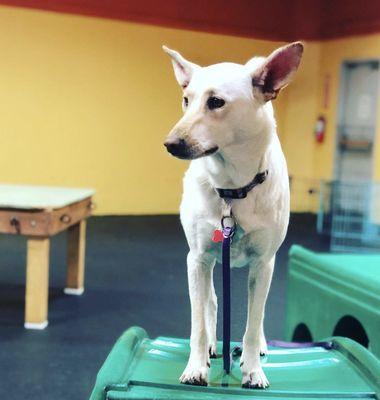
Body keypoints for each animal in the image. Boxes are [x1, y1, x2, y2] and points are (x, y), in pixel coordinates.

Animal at [163, 43, 302, 388]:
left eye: (216, 102)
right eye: (186, 100)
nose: (170, 144)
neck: (232, 189)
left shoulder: (264, 263)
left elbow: (253, 323)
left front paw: (252, 369)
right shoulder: (197, 258)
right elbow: (199, 322)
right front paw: (196, 366)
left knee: (258, 314)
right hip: (207, 262)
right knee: (211, 302)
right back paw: (213, 345)